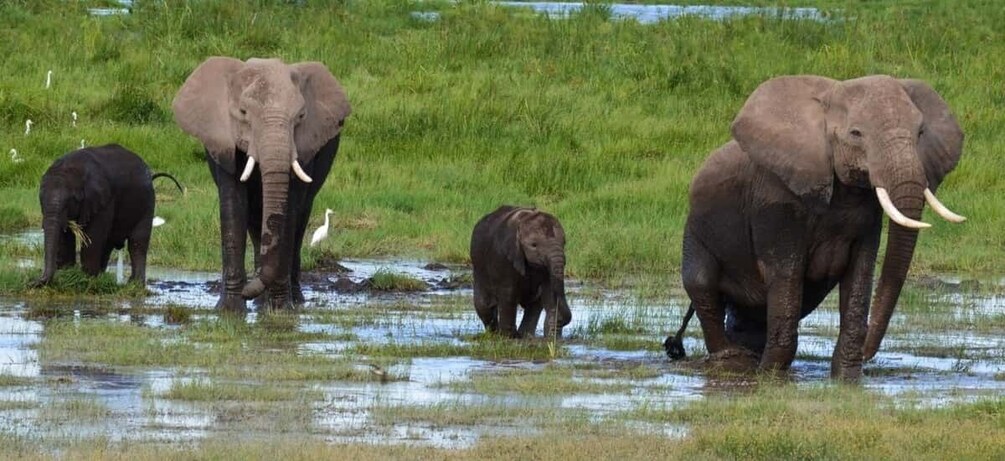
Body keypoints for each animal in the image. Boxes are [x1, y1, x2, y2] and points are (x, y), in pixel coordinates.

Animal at [33, 145, 184, 289]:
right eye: (40, 199)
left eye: (74, 199)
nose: (35, 283)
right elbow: (64, 235)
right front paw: (67, 274)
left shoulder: (103, 200)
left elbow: (93, 236)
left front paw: (86, 280)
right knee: (109, 243)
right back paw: (102, 276)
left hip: (147, 202)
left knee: (137, 242)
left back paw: (134, 284)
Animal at [175, 56, 353, 311]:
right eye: (243, 112)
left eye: (301, 117)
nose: (247, 292)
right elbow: (234, 207)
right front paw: (229, 311)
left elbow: (289, 213)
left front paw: (280, 310)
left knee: (300, 221)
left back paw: (292, 301)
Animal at [472, 205, 574, 339]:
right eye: (534, 245)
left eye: (564, 243)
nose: (563, 320)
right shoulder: (503, 258)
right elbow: (508, 293)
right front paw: (509, 337)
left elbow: (550, 292)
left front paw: (553, 338)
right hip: (479, 265)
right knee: (484, 305)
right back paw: (496, 334)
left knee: (534, 305)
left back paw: (526, 335)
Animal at [667, 73, 964, 381]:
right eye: (856, 134)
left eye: (920, 133)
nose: (868, 351)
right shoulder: (778, 200)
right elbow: (786, 278)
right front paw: (772, 379)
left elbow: (859, 275)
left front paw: (846, 380)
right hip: (696, 231)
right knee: (702, 285)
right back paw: (733, 363)